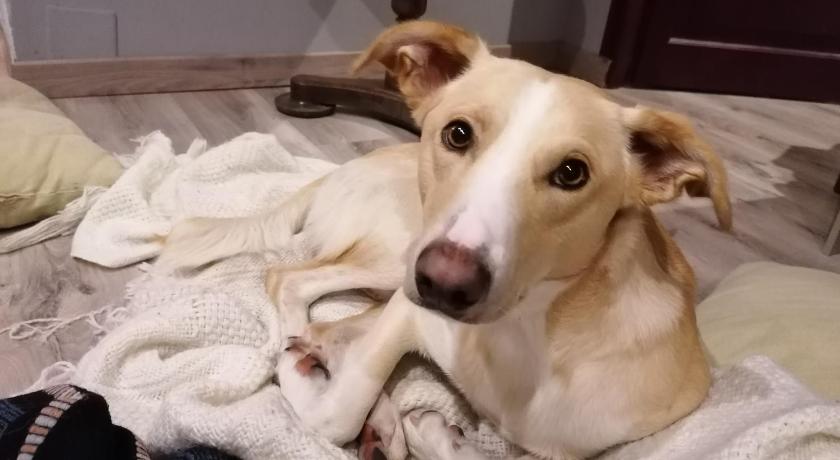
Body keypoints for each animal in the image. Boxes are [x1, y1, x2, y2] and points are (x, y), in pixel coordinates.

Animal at [161, 20, 731, 460]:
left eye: (572, 172)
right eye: (457, 134)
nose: (445, 284)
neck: (521, 329)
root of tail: (336, 170)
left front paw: (432, 433)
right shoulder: (407, 313)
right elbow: (340, 409)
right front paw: (303, 378)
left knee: (331, 321)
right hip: (396, 256)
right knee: (292, 281)